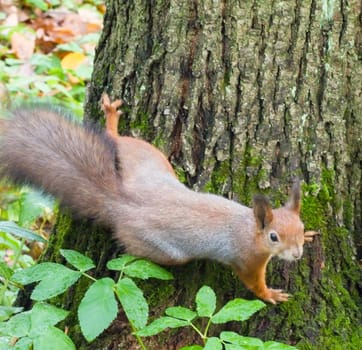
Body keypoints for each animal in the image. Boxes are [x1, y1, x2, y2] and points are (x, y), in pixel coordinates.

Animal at [0, 93, 316, 304]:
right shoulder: (247, 260)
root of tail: (122, 202)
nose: (297, 254)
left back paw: (111, 119)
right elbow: (253, 283)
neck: (249, 228)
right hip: (159, 248)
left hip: (149, 158)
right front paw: (270, 294)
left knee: (118, 141)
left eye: (299, 227)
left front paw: (311, 235)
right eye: (274, 237)